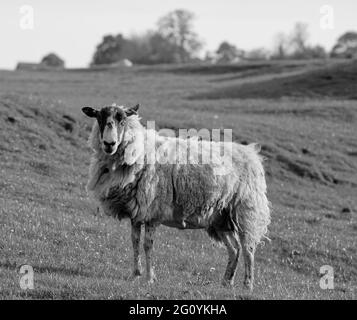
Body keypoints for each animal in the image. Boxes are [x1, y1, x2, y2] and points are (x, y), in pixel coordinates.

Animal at [81, 104, 270, 288]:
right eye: (99, 118)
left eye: (122, 121)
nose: (109, 144)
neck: (140, 152)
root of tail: (251, 153)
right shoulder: (137, 212)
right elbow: (134, 241)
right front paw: (135, 274)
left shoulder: (153, 212)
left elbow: (147, 245)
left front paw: (149, 278)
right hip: (220, 217)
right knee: (234, 248)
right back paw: (226, 281)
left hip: (245, 211)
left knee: (248, 248)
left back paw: (247, 284)